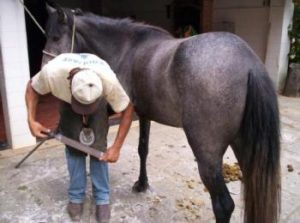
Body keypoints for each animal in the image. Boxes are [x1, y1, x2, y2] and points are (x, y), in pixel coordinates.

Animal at [42, 3, 282, 223]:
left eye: (56, 37)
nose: (44, 73)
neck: (125, 49)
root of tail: (249, 64)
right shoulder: (144, 114)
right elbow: (143, 149)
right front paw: (142, 184)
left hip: (208, 154)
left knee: (224, 205)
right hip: (244, 146)